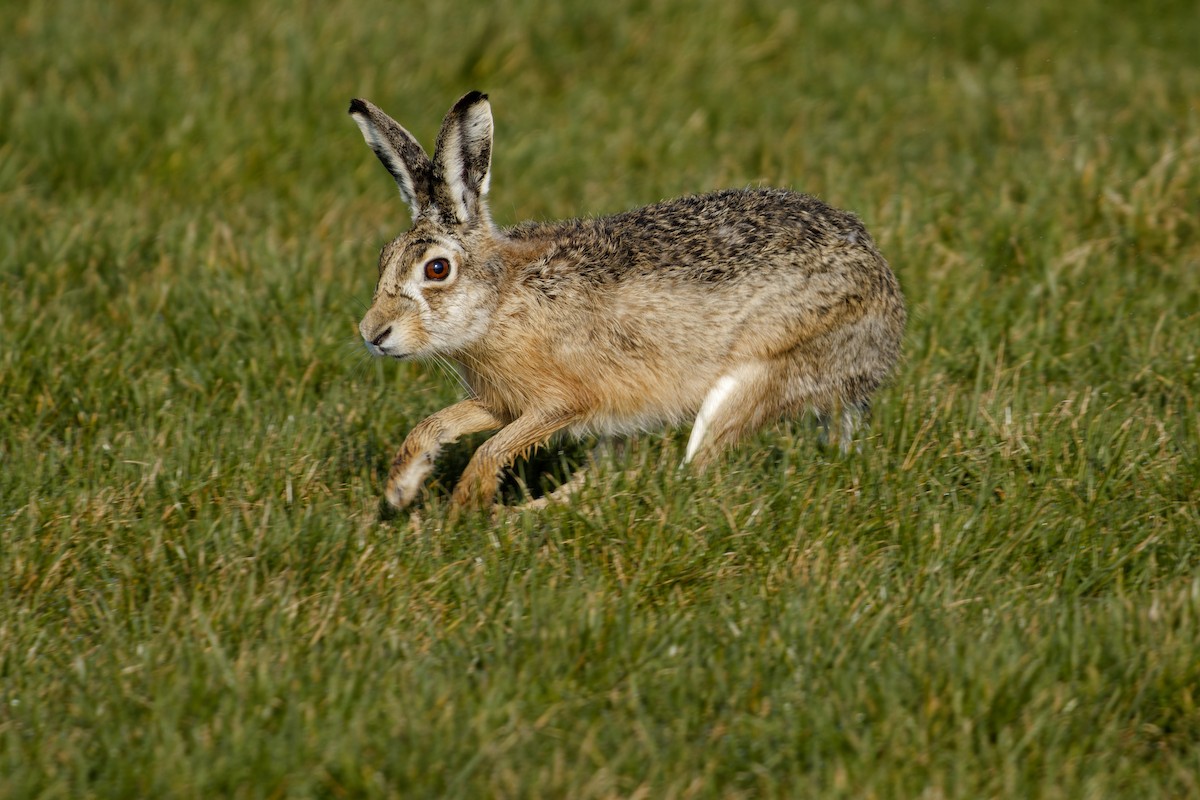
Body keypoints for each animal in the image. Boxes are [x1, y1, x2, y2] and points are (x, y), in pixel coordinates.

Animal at [348, 91, 905, 512]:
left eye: (436, 269)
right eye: (383, 258)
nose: (372, 334)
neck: (502, 300)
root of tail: (885, 299)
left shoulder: (564, 401)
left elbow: (490, 450)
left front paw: (464, 506)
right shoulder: (500, 401)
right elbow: (438, 424)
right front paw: (401, 490)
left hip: (755, 378)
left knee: (690, 467)